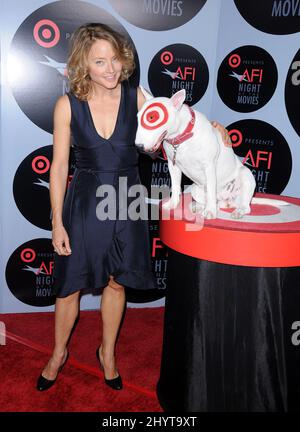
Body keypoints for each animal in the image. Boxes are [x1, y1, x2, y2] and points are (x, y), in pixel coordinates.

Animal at [135, 87, 288, 219]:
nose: (138, 146)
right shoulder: (173, 166)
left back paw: (236, 211)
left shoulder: (208, 165)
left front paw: (210, 212)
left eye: (152, 117)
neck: (182, 136)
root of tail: (227, 200)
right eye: (138, 117)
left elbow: (210, 187)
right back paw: (198, 206)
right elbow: (176, 186)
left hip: (246, 176)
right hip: (195, 188)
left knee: (245, 206)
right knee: (215, 202)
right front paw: (172, 204)